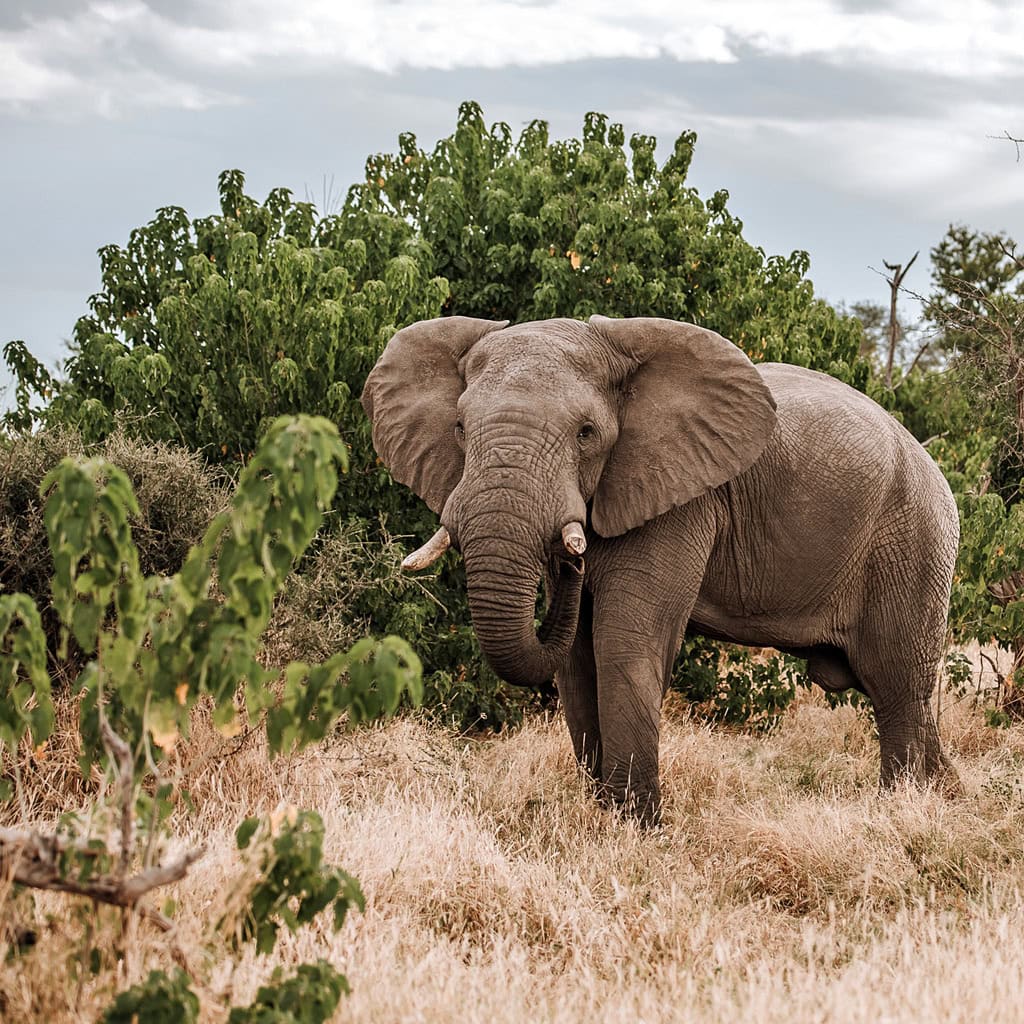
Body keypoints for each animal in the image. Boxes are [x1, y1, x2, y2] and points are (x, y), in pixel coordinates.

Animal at [361, 314, 959, 822]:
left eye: (586, 433)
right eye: (461, 428)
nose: (571, 560)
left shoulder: (682, 499)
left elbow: (623, 643)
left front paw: (635, 828)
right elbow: (577, 659)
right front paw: (603, 814)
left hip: (913, 540)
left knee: (897, 686)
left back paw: (902, 810)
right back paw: (945, 794)